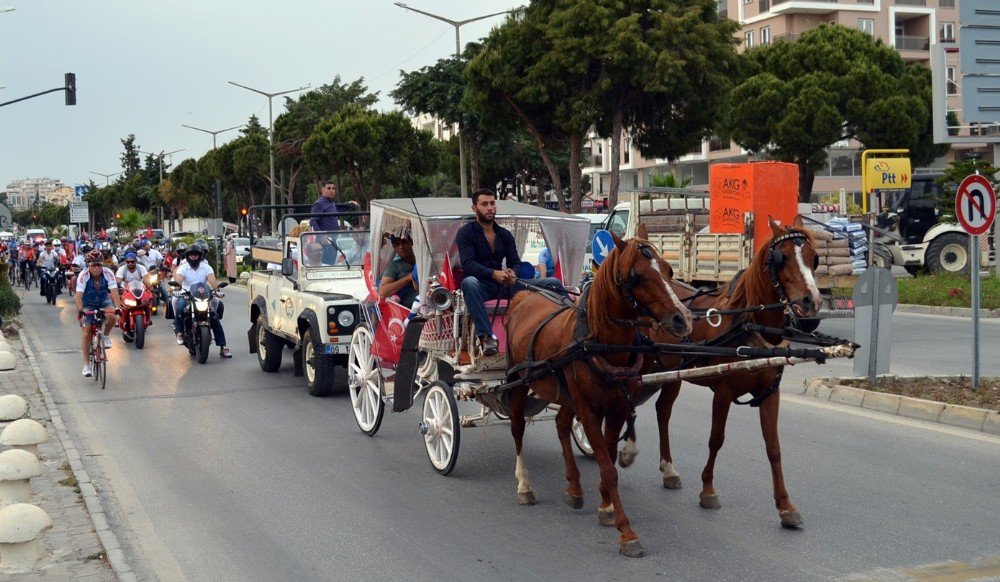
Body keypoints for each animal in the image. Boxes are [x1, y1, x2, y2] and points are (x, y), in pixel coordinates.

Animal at [504, 230, 692, 560]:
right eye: (637, 277)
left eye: (669, 271)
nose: (682, 319)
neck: (600, 343)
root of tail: (523, 296)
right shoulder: (589, 411)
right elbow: (608, 466)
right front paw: (626, 532)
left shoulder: (616, 409)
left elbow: (610, 457)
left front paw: (605, 507)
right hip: (518, 382)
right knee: (517, 428)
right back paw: (524, 485)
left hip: (566, 395)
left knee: (561, 425)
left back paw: (574, 488)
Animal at [648, 217, 820, 532]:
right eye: (782, 258)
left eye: (814, 258)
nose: (811, 301)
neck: (749, 325)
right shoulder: (724, 393)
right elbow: (716, 439)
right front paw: (708, 490)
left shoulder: (770, 394)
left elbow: (774, 448)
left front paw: (785, 506)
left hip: (673, 374)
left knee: (663, 411)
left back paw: (668, 469)